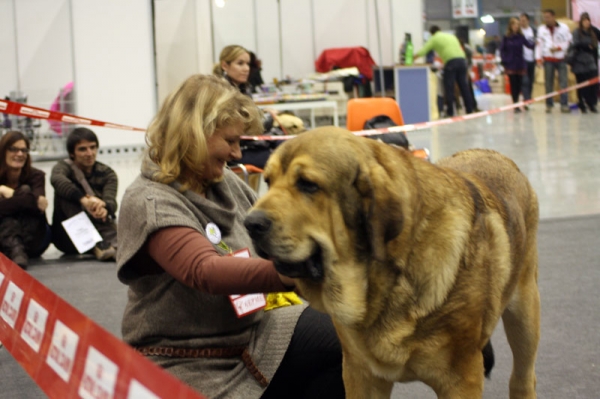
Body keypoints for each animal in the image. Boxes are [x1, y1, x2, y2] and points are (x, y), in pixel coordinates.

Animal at [244, 128, 540, 399]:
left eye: (307, 184)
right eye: (268, 181)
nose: (251, 223)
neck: (387, 283)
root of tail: (491, 152)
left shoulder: (461, 378)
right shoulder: (360, 374)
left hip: (525, 318)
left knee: (522, 378)